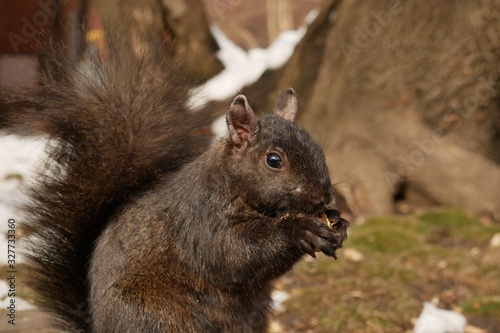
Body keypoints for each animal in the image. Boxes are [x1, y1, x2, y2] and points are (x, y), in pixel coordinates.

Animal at [0, 35, 348, 330]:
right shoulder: (202, 220)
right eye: (274, 161)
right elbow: (231, 254)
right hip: (158, 316)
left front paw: (338, 225)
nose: (326, 199)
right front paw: (301, 230)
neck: (233, 184)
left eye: (316, 147)